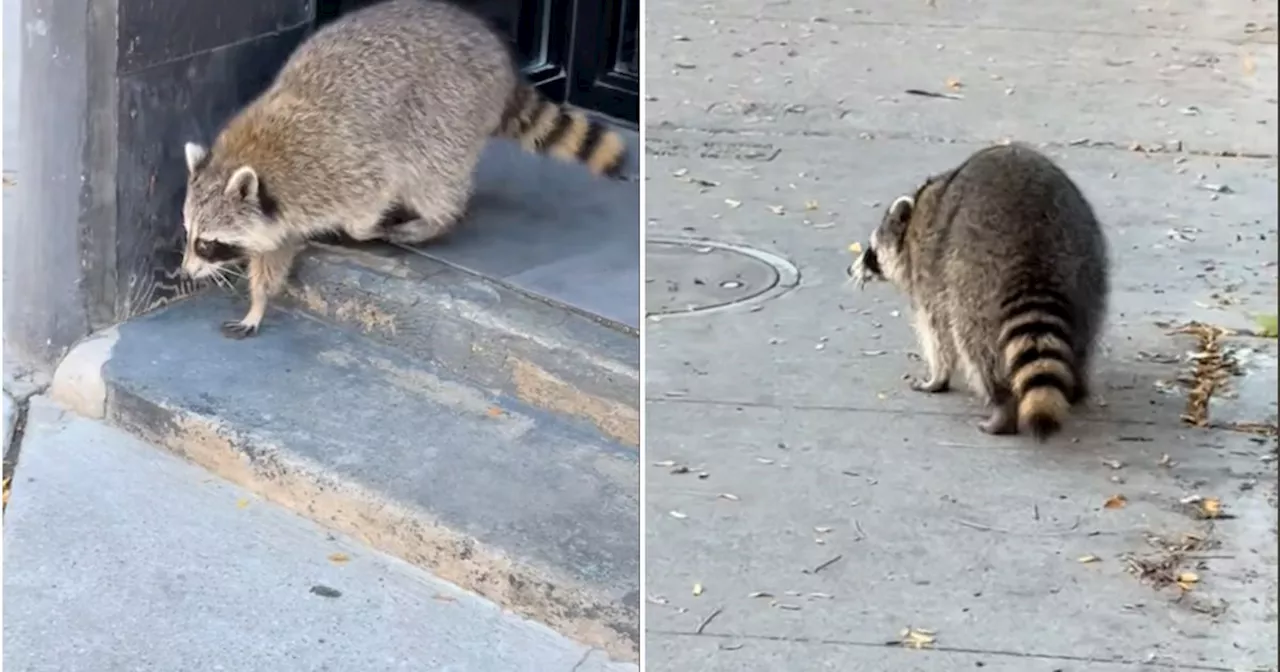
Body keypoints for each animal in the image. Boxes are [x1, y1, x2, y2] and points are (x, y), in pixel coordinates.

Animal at [180, 0, 629, 337]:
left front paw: (364, 229)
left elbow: (371, 197)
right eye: (189, 234)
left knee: (432, 176)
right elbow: (274, 253)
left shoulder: (336, 169)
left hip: (449, 112)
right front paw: (258, 302)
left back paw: (434, 220)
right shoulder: (280, 211)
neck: (246, 160)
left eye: (207, 243)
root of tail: (499, 60)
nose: (185, 272)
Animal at [849, 144, 1111, 440]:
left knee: (974, 343)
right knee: (1083, 333)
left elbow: (938, 334)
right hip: (1086, 268)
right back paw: (1075, 384)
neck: (916, 212)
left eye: (871, 252)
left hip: (970, 276)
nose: (850, 270)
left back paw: (1001, 405)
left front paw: (936, 377)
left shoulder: (929, 273)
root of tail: (1033, 243)